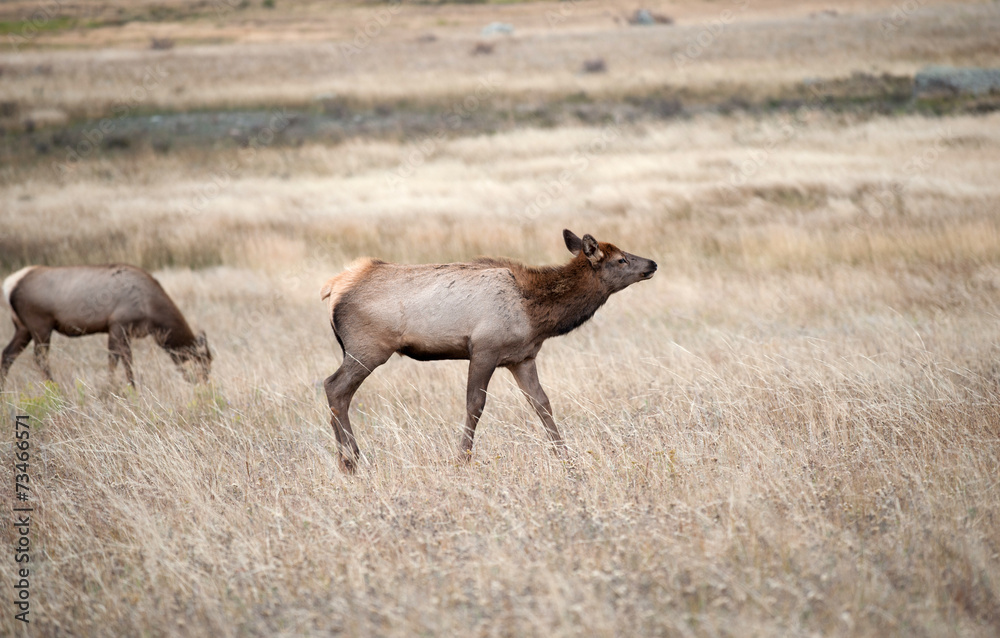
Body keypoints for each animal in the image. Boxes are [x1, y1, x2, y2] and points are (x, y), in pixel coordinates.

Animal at [1, 264, 212, 389]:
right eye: (204, 363)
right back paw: (55, 388)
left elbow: (116, 359)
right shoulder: (119, 324)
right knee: (40, 358)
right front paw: (125, 388)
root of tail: (9, 285)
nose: (205, 385)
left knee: (7, 354)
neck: (152, 313)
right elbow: (121, 360)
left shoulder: (116, 329)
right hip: (40, 324)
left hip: (23, 327)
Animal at [319, 229, 657, 472]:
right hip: (368, 347)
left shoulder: (522, 357)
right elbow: (475, 405)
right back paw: (350, 460)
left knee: (338, 393)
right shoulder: (484, 348)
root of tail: (333, 286)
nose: (652, 264)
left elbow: (542, 404)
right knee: (334, 387)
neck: (537, 315)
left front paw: (566, 457)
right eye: (621, 260)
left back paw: (346, 460)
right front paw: (461, 460)